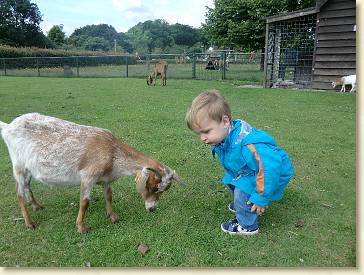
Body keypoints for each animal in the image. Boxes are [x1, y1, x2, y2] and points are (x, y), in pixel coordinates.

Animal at [0, 113, 182, 234]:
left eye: (162, 190)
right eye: (152, 186)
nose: (152, 209)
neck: (113, 153)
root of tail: (8, 127)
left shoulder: (106, 179)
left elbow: (109, 195)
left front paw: (113, 216)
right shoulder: (88, 176)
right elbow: (84, 202)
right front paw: (81, 227)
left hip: (28, 167)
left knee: (28, 185)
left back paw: (36, 206)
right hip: (18, 165)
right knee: (19, 192)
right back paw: (29, 222)